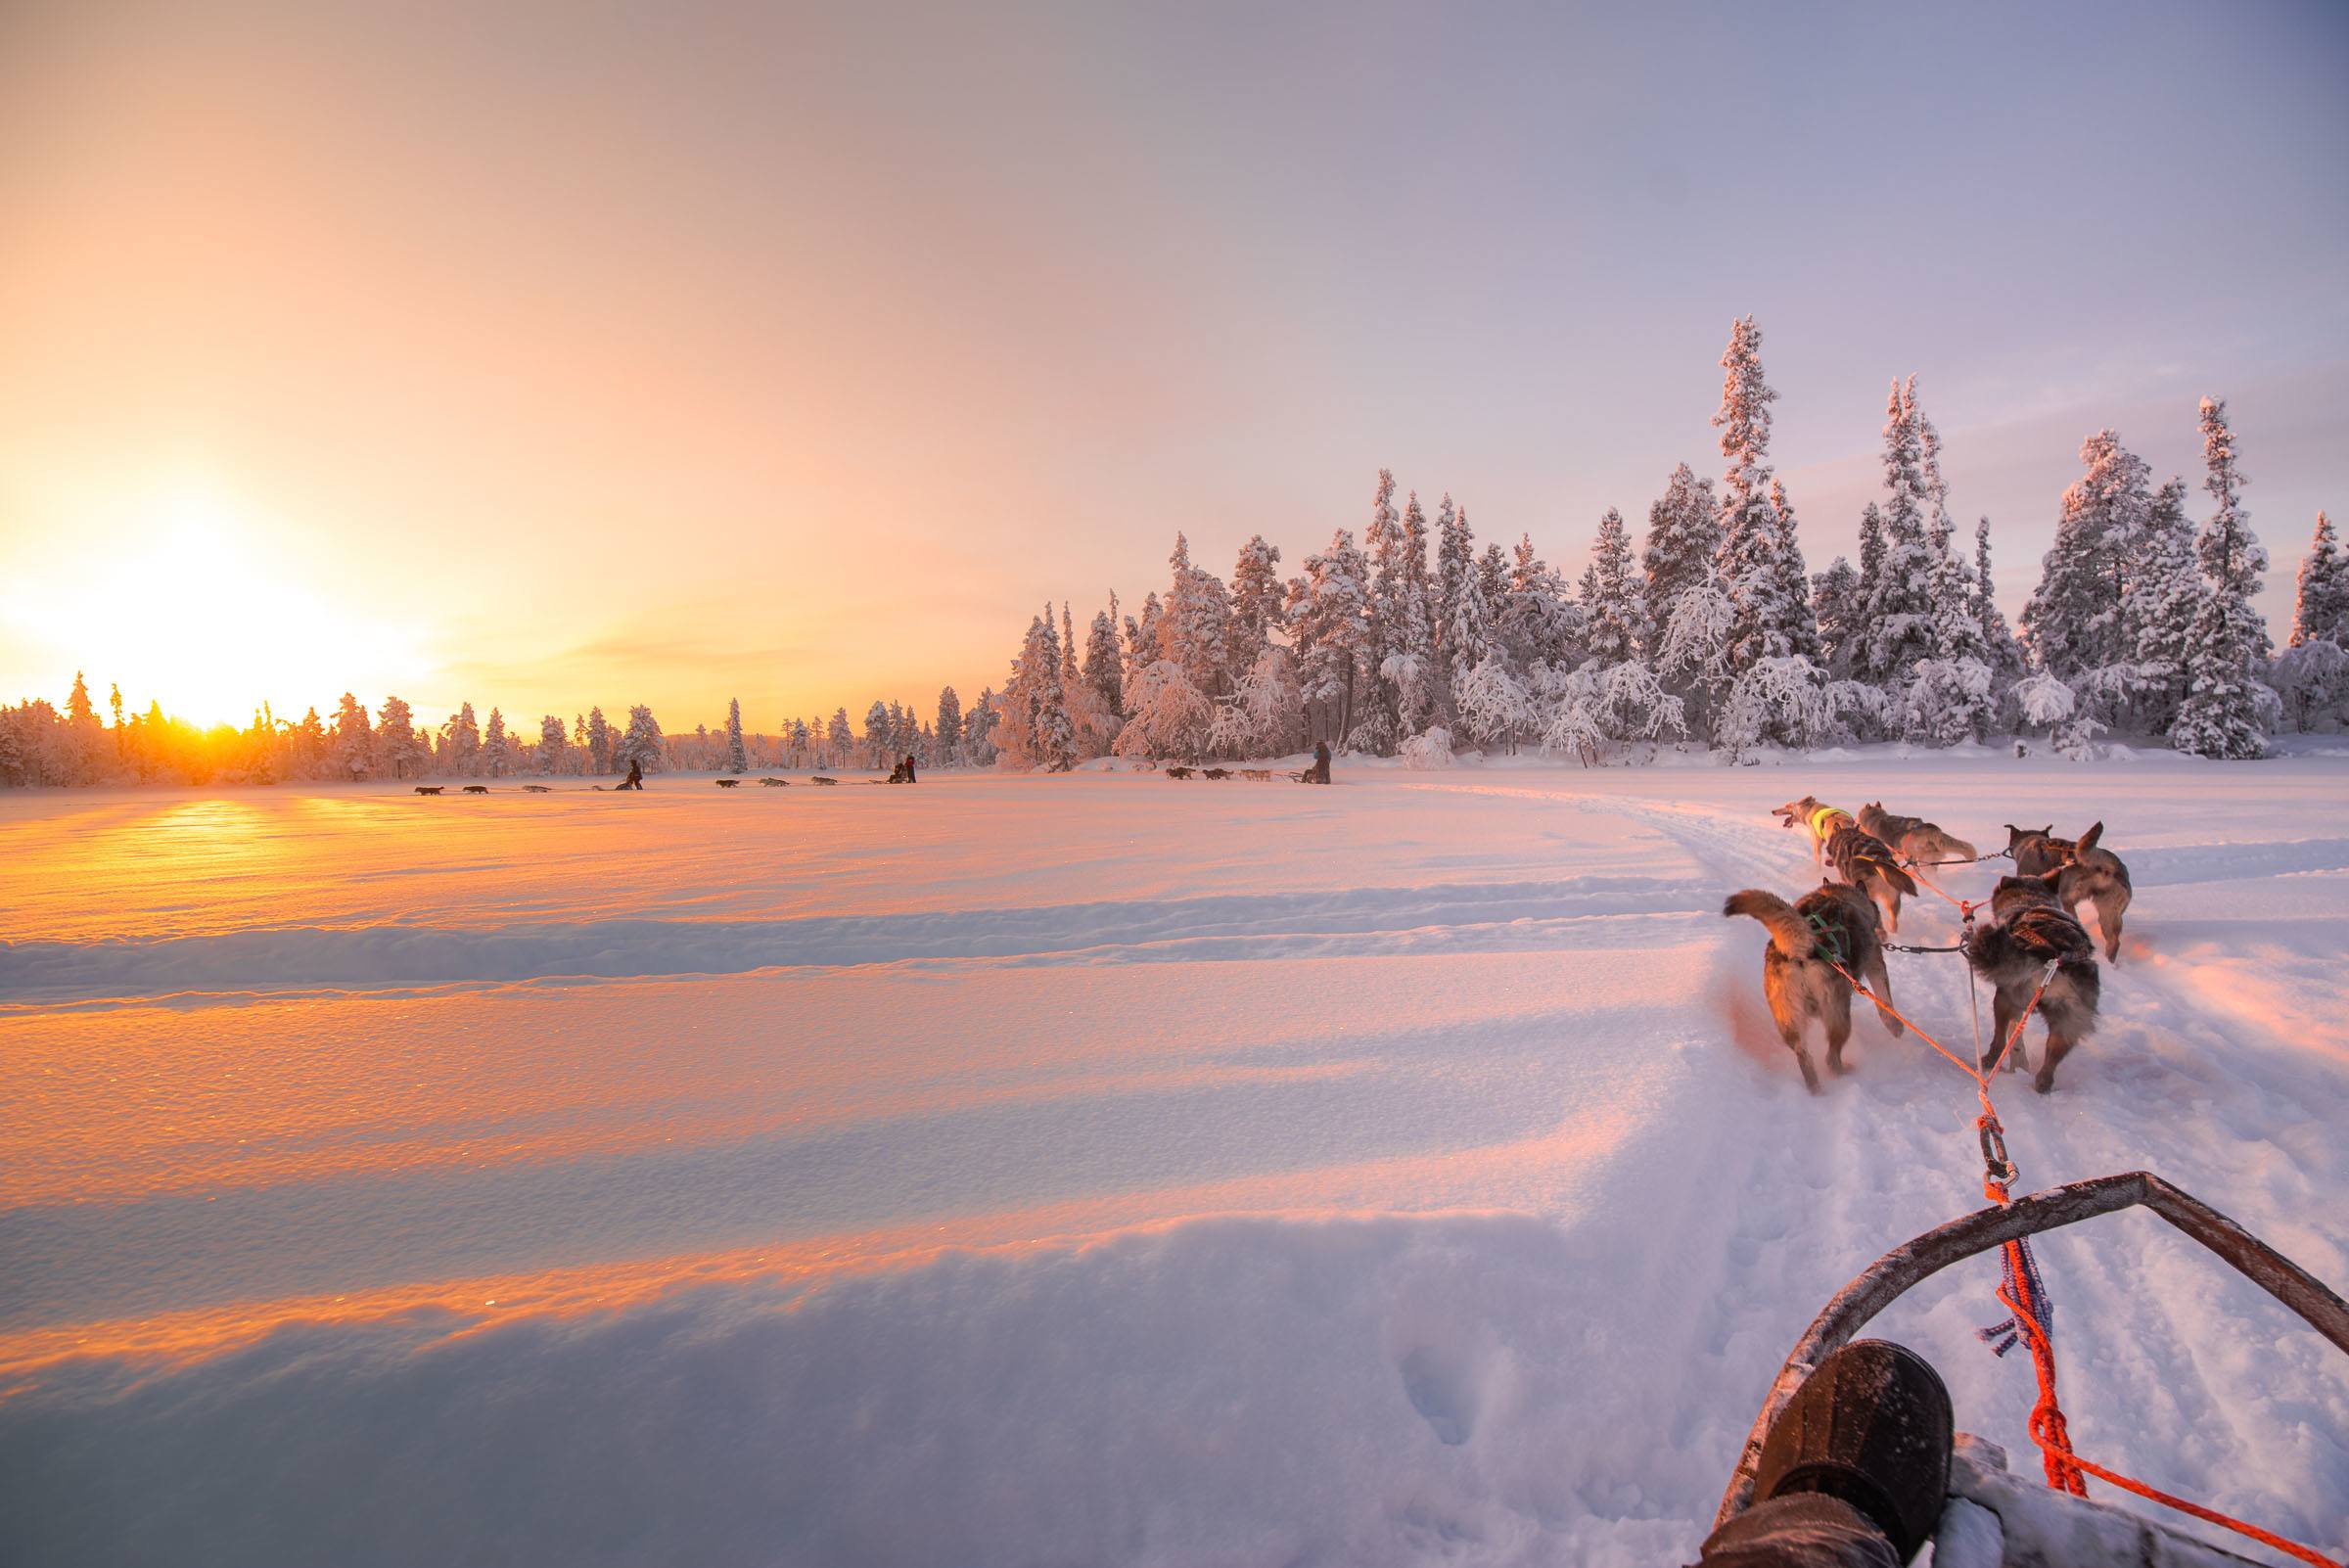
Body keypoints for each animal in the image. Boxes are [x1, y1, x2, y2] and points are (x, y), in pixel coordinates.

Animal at [1728, 882, 1907, 1088]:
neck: (1839, 895)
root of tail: (1804, 949)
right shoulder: (1875, 961)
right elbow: (1885, 1000)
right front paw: (1895, 1026)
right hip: (1839, 1015)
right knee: (1831, 1057)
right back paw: (1844, 1073)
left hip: (1789, 1019)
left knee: (1802, 1054)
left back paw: (1815, 1088)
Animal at [1766, 798, 1916, 929]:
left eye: (1787, 805)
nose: (1772, 811)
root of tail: (1880, 861)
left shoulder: (1817, 842)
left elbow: (1817, 860)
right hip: (1892, 899)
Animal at [1954, 868, 2104, 1088]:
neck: (2031, 901)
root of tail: (2056, 957)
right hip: (2069, 1019)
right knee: (2052, 1055)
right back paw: (2042, 1084)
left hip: (2007, 998)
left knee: (1999, 1038)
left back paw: (1989, 1060)